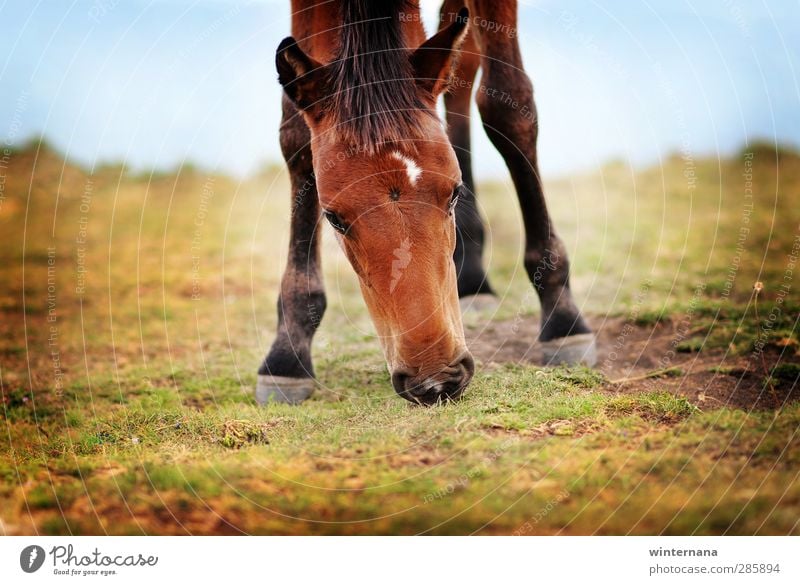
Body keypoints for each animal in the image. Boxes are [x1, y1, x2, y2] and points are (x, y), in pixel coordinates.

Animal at [256, 0, 592, 406]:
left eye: (454, 194)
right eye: (333, 218)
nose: (435, 379)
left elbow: (508, 104)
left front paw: (562, 317)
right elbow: (295, 135)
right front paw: (287, 352)